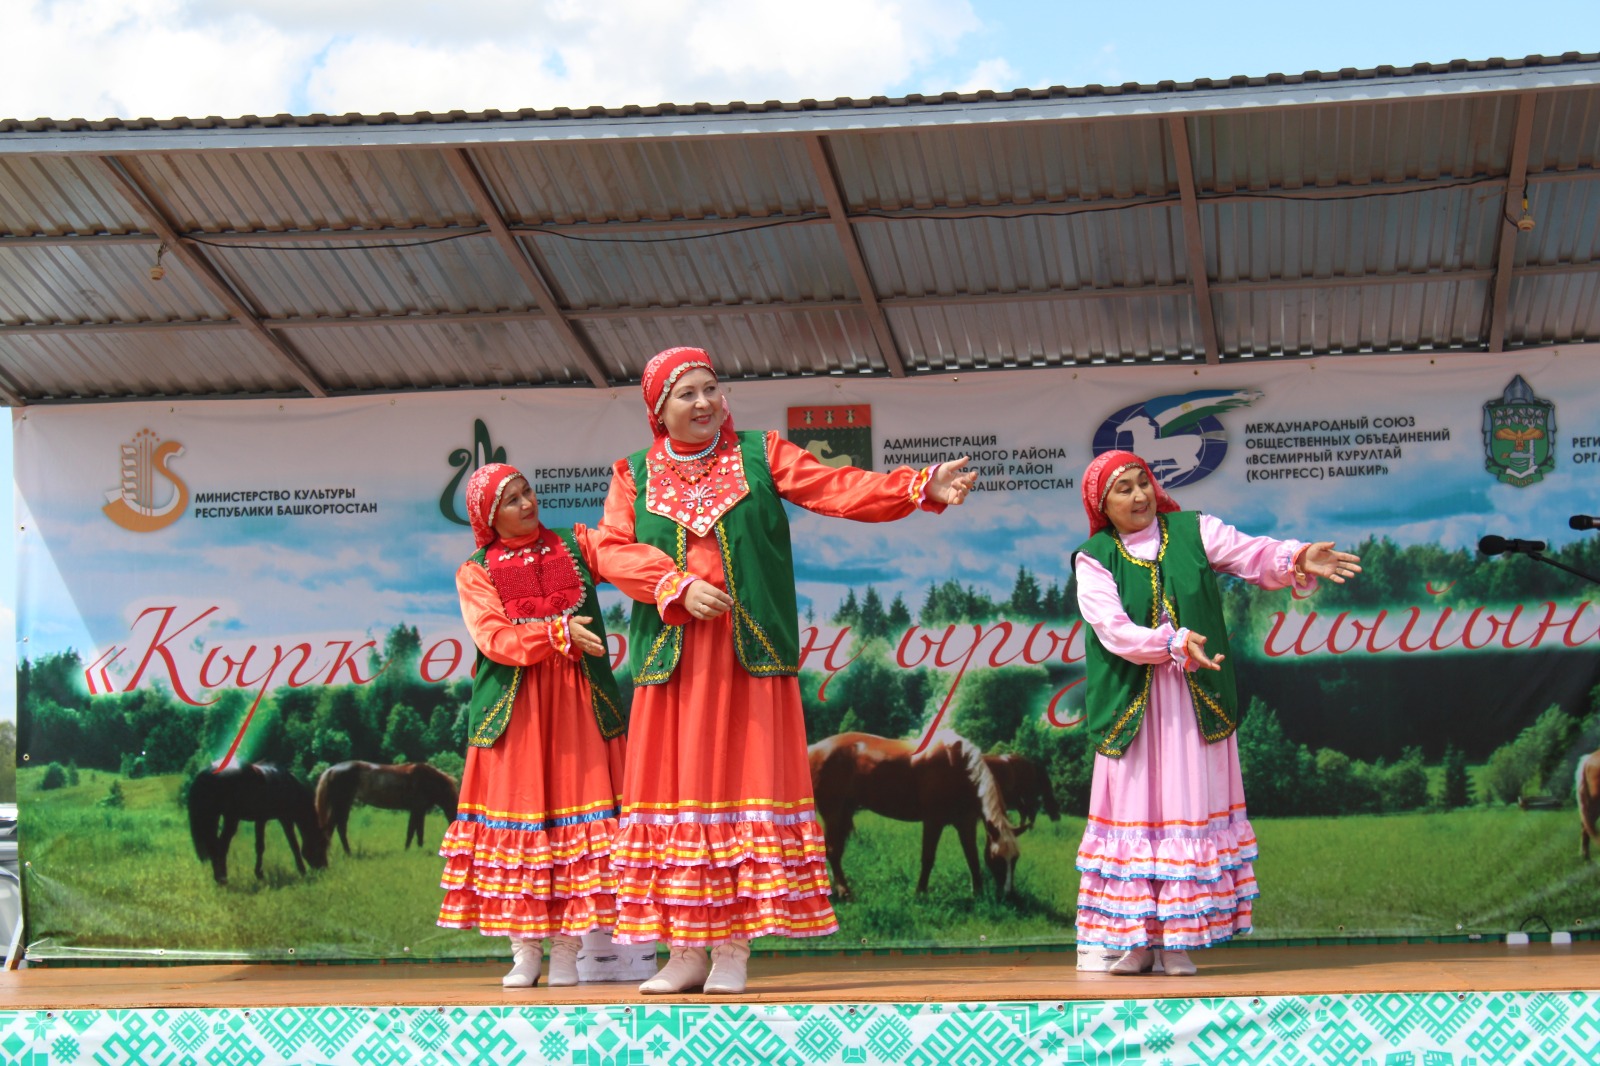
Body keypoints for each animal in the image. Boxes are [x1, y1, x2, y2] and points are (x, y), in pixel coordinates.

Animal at [185, 758, 326, 883]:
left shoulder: (261, 819)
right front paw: (302, 871)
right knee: (221, 846)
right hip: (230, 819)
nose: (324, 868)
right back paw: (222, 878)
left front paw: (259, 874)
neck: (287, 784)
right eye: (321, 843)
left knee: (214, 845)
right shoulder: (285, 819)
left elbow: (260, 847)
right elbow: (294, 845)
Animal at [315, 755, 460, 857]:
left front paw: (414, 849)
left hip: (344, 804)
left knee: (338, 828)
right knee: (334, 827)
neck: (429, 780)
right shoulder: (417, 809)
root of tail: (331, 770)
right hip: (340, 804)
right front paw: (411, 850)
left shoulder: (418, 810)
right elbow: (414, 831)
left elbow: (416, 831)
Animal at [806, 729, 1017, 896]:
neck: (956, 764)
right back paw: (843, 892)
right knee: (832, 851)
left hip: (843, 813)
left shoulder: (966, 823)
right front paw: (920, 892)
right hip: (832, 812)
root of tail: (814, 749)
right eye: (998, 859)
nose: (1009, 895)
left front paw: (978, 892)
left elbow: (972, 857)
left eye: (1015, 859)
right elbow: (928, 858)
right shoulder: (933, 821)